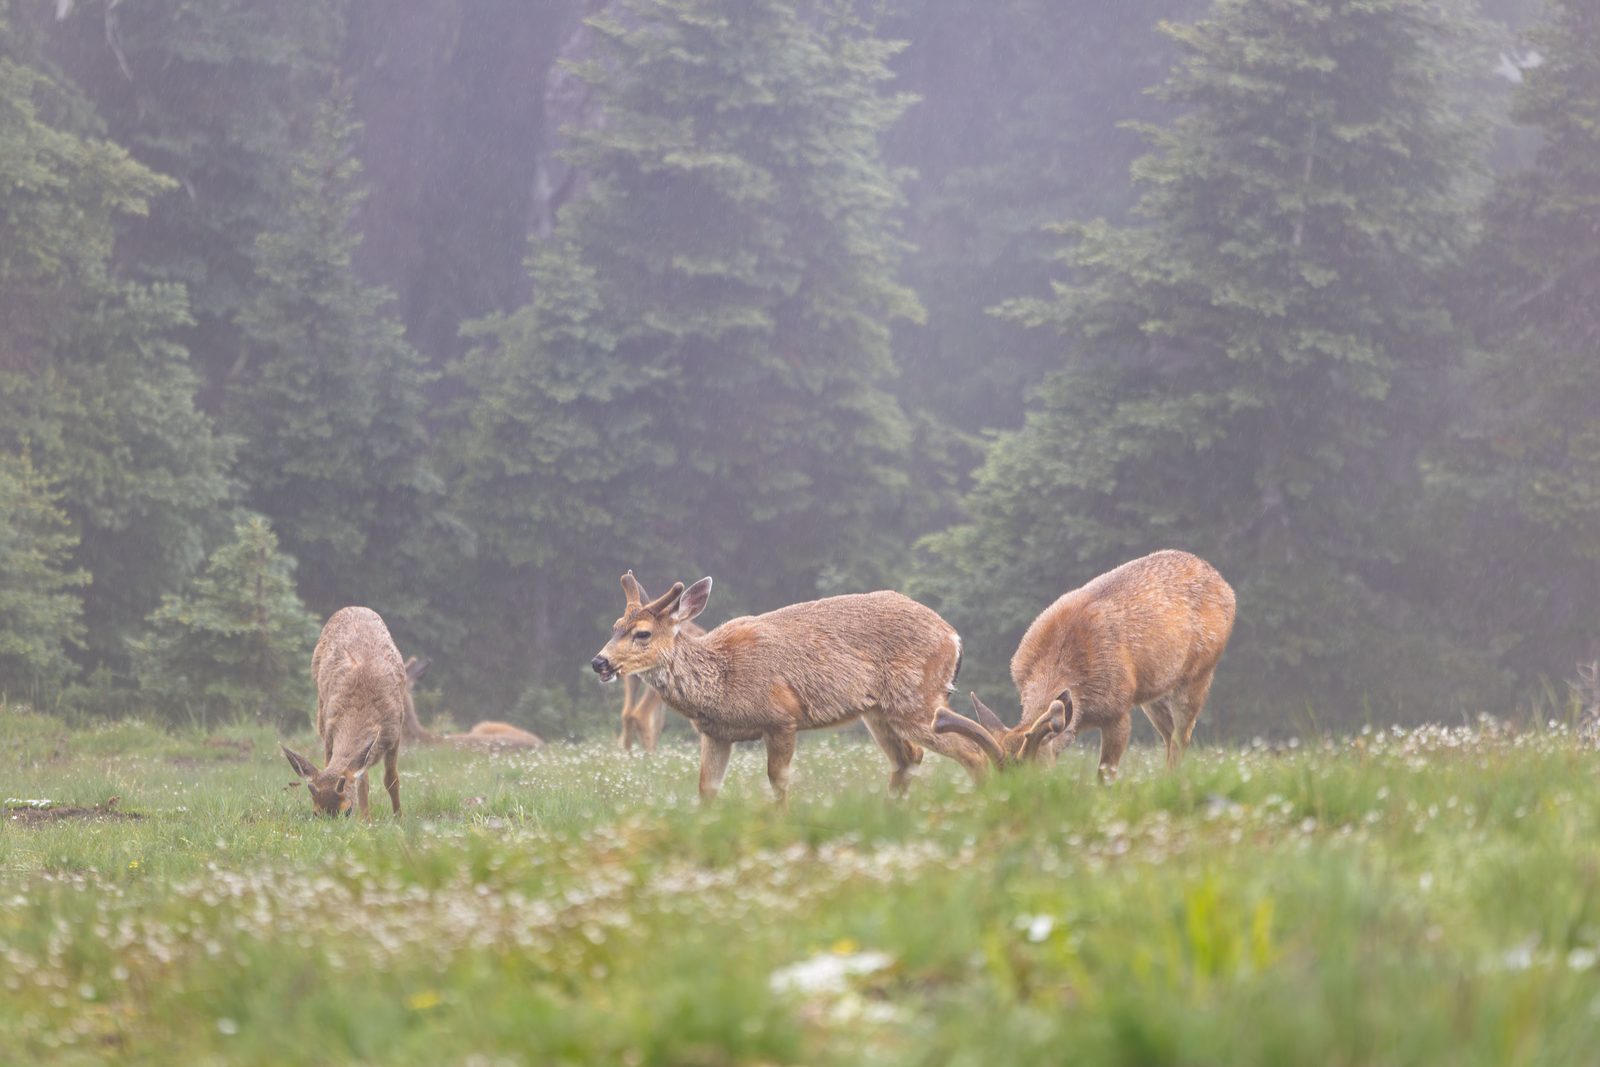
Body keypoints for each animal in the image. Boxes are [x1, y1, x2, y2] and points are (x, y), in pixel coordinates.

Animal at [282, 607, 408, 818]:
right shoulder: (329, 733)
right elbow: (360, 780)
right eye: (316, 813)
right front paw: (366, 820)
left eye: (347, 810)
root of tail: (353, 607)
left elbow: (391, 780)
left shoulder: (395, 735)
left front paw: (398, 818)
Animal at [590, 572, 990, 802]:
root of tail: (953, 637)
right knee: (909, 758)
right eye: (614, 626)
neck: (722, 679)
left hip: (917, 699)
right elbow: (706, 789)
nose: (600, 662)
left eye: (643, 633)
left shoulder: (782, 717)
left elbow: (778, 781)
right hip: (879, 712)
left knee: (972, 751)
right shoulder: (715, 733)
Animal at [934, 550, 1235, 781]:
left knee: (1182, 736)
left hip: (1200, 672)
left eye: (1039, 777)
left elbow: (1105, 775)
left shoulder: (1118, 710)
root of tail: (1225, 585)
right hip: (1154, 692)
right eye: (997, 779)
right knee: (1169, 736)